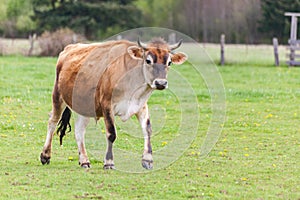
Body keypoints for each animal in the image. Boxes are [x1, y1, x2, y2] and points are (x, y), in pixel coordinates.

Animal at [40, 37, 188, 169]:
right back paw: (45, 155)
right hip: (58, 96)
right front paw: (109, 162)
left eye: (169, 62)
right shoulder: (107, 105)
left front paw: (148, 160)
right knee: (52, 122)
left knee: (79, 131)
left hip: (84, 105)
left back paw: (84, 161)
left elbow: (147, 130)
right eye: (148, 60)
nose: (160, 83)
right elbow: (111, 133)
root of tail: (70, 48)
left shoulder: (141, 105)